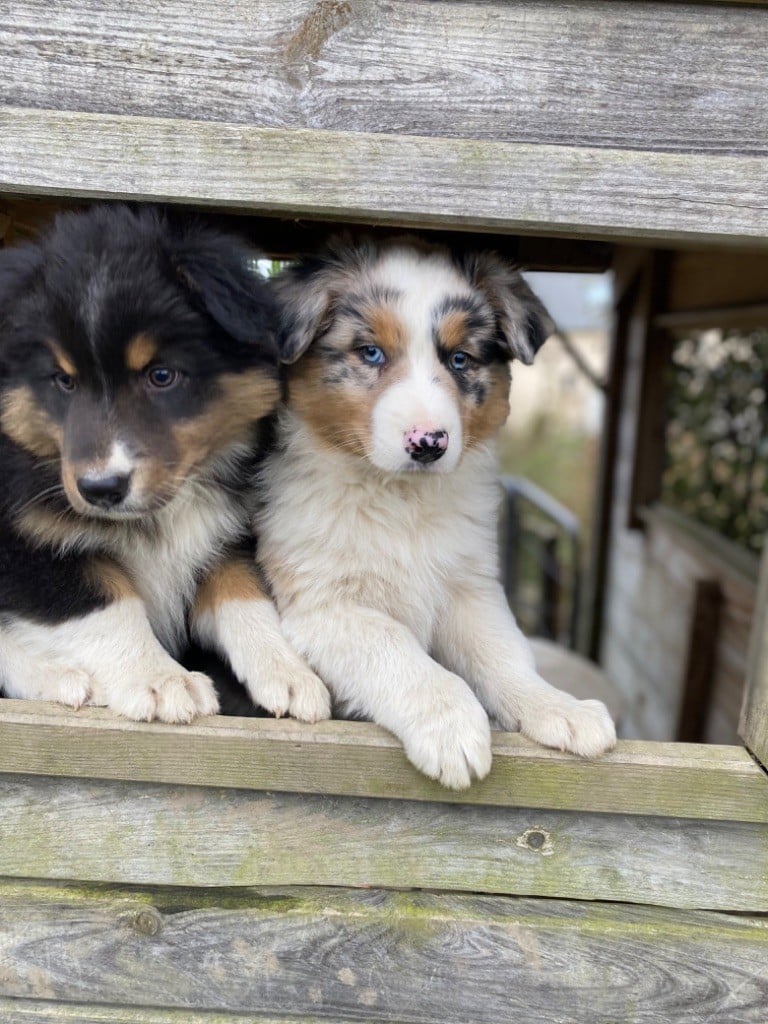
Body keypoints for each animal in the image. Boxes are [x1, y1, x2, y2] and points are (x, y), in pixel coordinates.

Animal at [0, 203, 327, 724]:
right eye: (63, 381)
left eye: (161, 375)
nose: (100, 489)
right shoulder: (29, 547)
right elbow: (109, 603)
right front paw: (160, 679)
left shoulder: (229, 534)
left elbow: (243, 592)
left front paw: (287, 671)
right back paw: (58, 676)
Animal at [260, 237, 618, 782]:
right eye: (371, 352)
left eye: (459, 359)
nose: (429, 443)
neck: (399, 499)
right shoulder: (322, 603)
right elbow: (395, 648)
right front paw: (450, 727)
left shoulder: (470, 587)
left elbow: (504, 654)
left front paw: (559, 708)